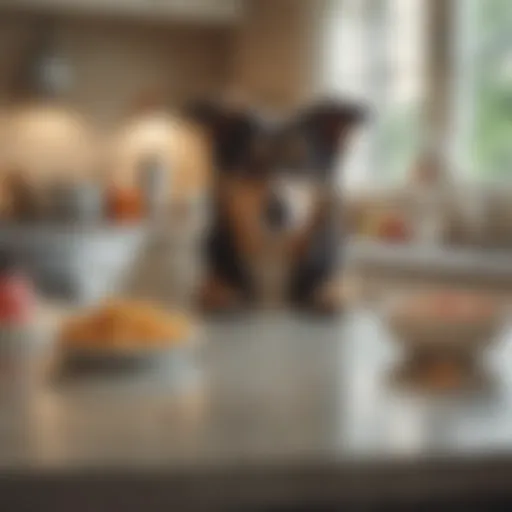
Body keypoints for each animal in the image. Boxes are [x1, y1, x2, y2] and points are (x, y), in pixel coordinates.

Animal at [186, 95, 366, 312]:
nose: (277, 212)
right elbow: (216, 278)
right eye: (251, 164)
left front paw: (330, 289)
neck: (274, 247)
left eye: (301, 163)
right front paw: (218, 289)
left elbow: (335, 279)